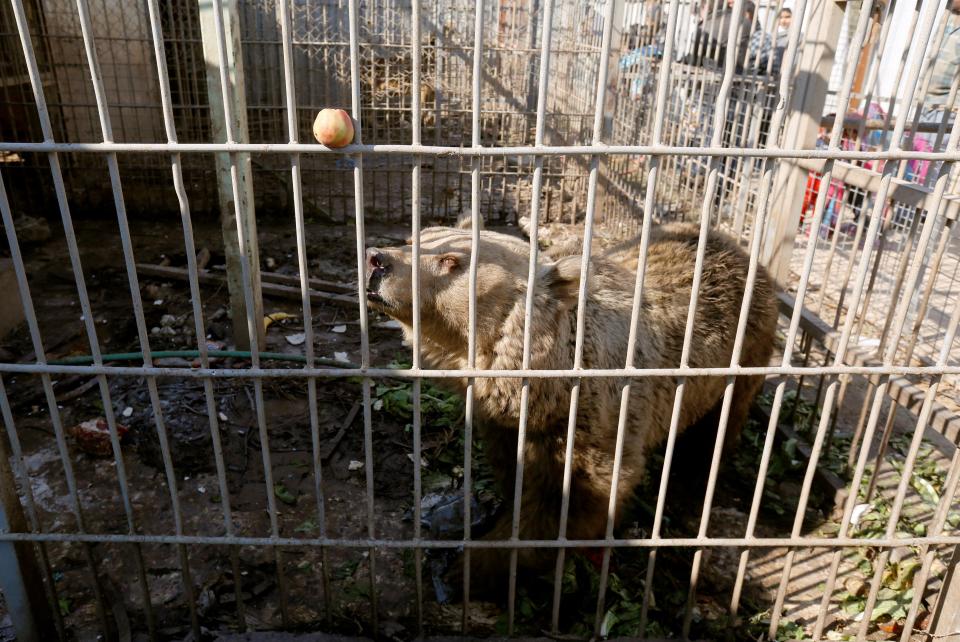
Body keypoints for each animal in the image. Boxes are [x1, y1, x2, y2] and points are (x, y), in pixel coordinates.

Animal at [364, 218, 776, 592]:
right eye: (413, 238)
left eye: (451, 260)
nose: (376, 259)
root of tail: (738, 248)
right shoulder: (508, 424)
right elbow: (516, 472)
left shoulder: (593, 424)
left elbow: (570, 501)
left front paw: (470, 569)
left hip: (736, 359)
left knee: (715, 428)